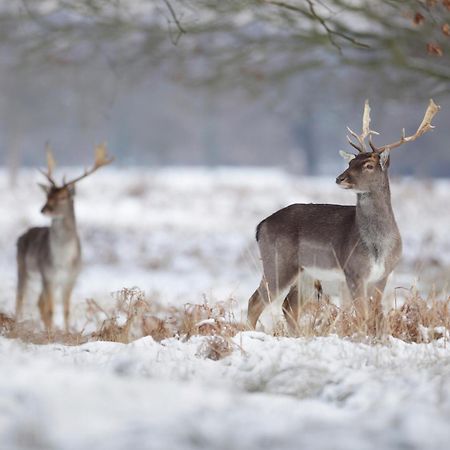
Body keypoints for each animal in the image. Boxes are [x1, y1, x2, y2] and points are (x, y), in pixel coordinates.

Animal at [15, 144, 114, 330]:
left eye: (62, 197)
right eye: (47, 196)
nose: (43, 209)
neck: (62, 261)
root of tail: (22, 235)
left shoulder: (71, 277)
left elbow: (66, 310)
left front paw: (67, 332)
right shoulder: (47, 275)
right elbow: (51, 310)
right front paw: (52, 333)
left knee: (39, 302)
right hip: (22, 267)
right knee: (21, 298)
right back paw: (18, 322)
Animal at [246, 100, 440, 336]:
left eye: (369, 165)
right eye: (350, 162)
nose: (340, 178)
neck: (378, 245)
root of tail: (261, 225)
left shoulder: (382, 276)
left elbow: (375, 316)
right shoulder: (354, 271)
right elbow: (363, 317)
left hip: (306, 276)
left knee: (288, 306)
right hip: (277, 263)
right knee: (255, 301)